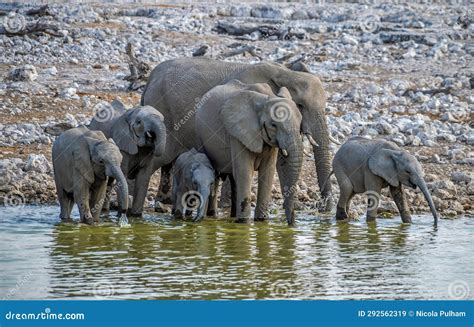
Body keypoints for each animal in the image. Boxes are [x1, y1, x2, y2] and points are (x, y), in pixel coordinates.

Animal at [142, 57, 336, 215]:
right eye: (301, 105)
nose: (323, 208)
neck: (287, 73)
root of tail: (149, 79)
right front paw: (227, 206)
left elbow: (282, 160)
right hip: (163, 112)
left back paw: (164, 201)